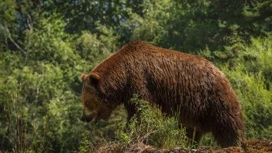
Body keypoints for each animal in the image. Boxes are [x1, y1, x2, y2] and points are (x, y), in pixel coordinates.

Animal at [79, 41, 245, 148]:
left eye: (87, 102)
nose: (84, 117)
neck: (123, 77)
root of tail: (221, 73)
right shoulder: (130, 93)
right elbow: (134, 112)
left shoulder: (140, 82)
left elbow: (142, 112)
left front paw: (132, 136)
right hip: (194, 109)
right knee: (191, 129)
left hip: (212, 98)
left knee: (228, 122)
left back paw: (235, 142)